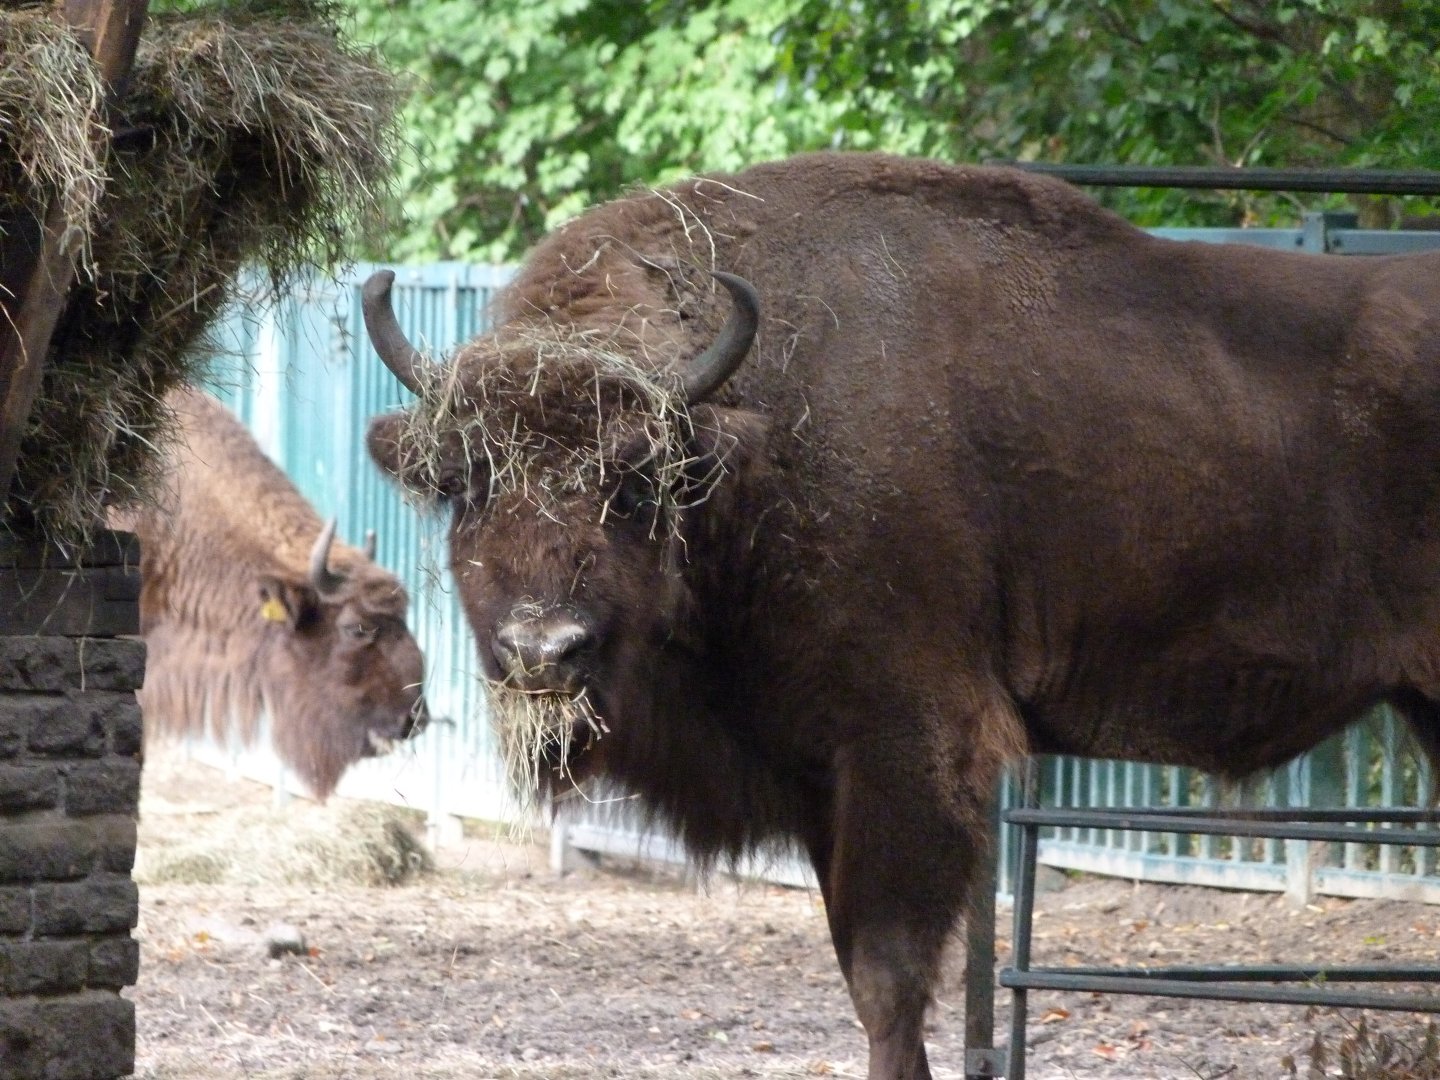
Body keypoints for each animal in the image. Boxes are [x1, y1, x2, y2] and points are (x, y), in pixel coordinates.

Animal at [361, 151, 1440, 1079]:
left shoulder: (908, 749)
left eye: (635, 482)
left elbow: (887, 981)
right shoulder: (818, 772)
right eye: (464, 482)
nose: (543, 649)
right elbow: (863, 970)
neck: (759, 439)